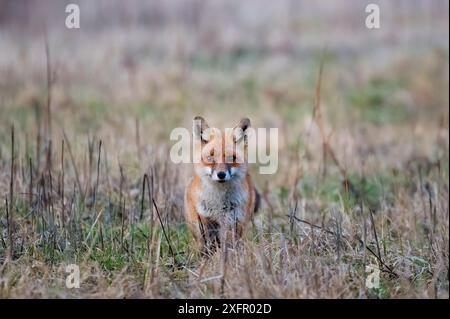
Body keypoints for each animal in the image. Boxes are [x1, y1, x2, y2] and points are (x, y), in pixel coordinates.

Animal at [184, 116, 260, 254]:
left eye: (231, 158)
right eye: (210, 158)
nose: (221, 174)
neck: (219, 202)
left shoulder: (235, 221)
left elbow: (229, 246)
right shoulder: (206, 220)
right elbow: (209, 244)